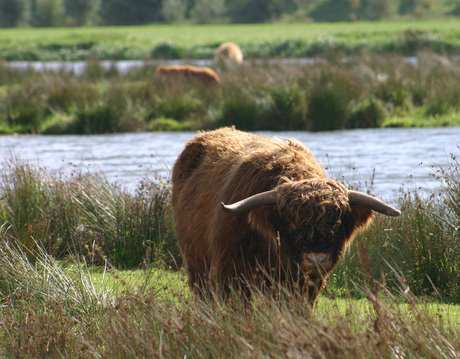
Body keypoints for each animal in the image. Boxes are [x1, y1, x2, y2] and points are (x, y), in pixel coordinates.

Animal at [172, 128, 398, 306]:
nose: (316, 259)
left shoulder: (307, 283)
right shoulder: (231, 272)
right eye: (291, 224)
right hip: (197, 264)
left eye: (337, 223)